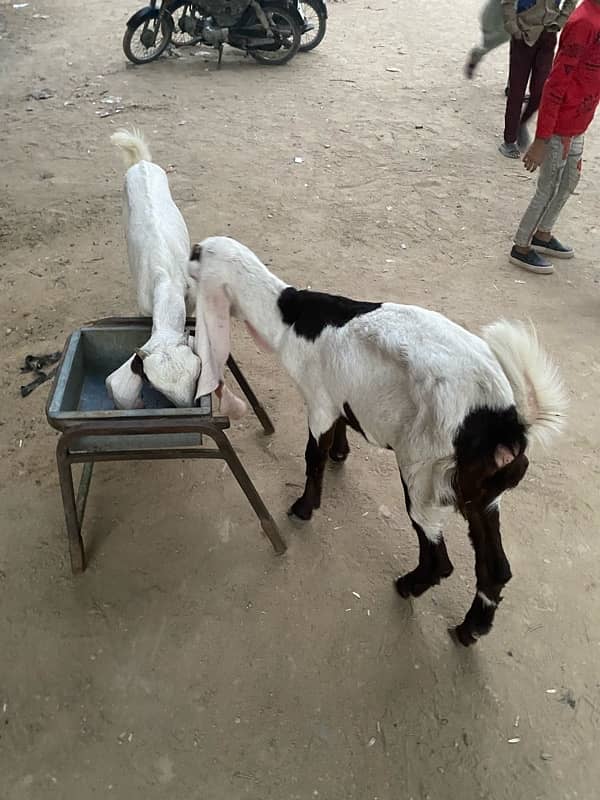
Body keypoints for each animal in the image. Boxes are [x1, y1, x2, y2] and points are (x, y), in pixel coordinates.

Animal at [189, 234, 568, 648]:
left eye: (194, 259)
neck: (287, 317)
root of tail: (506, 424)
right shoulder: (340, 395)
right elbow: (337, 434)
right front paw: (341, 454)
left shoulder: (319, 402)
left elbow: (312, 457)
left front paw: (304, 508)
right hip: (482, 493)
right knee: (494, 568)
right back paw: (469, 630)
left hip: (424, 471)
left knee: (439, 558)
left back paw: (407, 587)